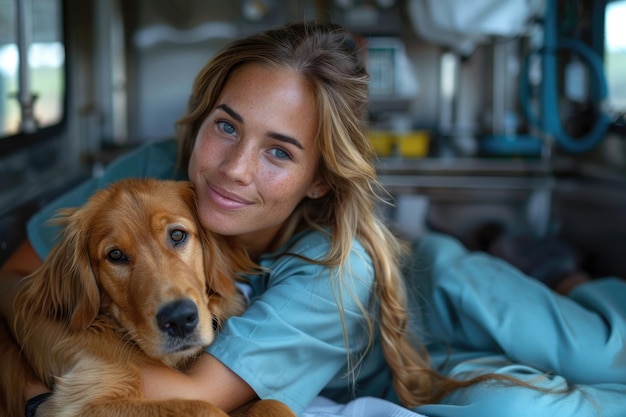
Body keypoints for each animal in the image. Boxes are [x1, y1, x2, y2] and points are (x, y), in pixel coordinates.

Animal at [0, 178, 294, 416]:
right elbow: (202, 407)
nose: (179, 319)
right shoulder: (78, 401)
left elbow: (273, 404)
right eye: (115, 255)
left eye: (177, 234)